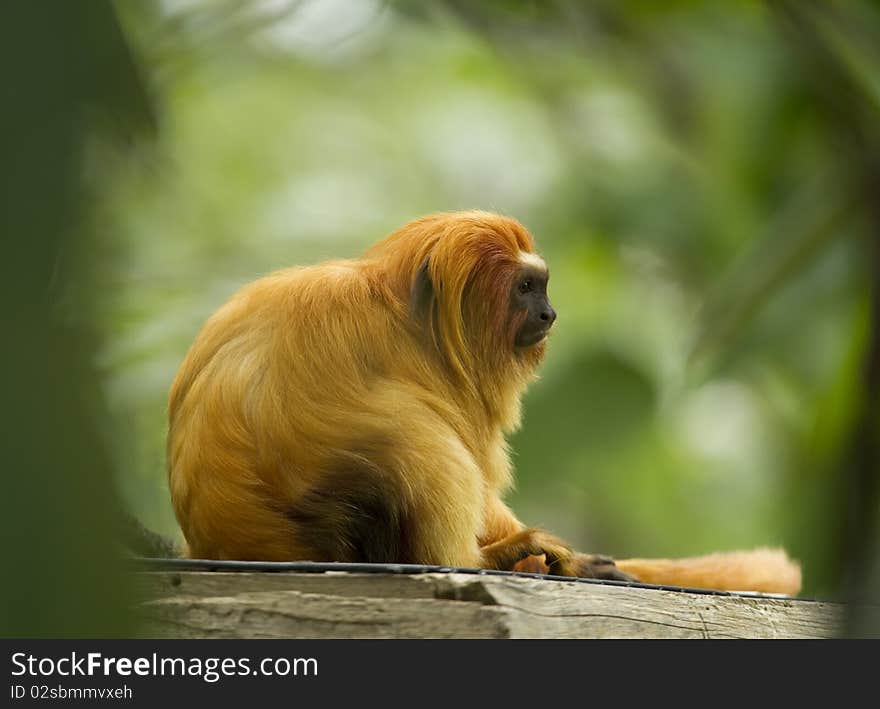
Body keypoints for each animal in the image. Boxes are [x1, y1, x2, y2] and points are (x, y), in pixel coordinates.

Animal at [167, 212, 804, 596]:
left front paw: (570, 558)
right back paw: (481, 562)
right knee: (419, 441)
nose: (550, 314)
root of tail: (229, 540)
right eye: (527, 289)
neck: (408, 320)